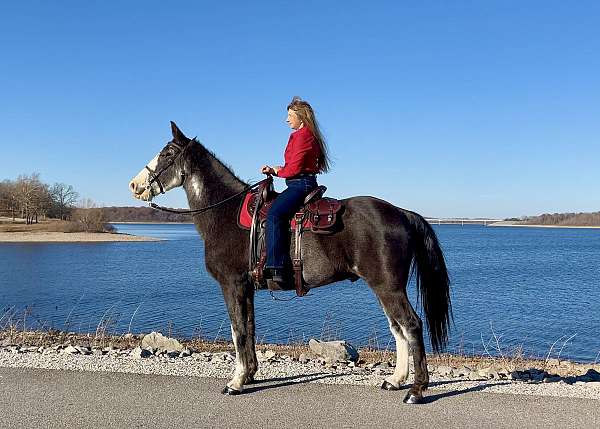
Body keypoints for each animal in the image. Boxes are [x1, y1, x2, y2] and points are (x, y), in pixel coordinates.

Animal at [130, 122, 450, 402]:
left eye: (168, 153)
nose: (135, 184)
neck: (225, 214)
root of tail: (401, 212)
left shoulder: (232, 285)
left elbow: (237, 331)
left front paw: (236, 382)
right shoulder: (247, 288)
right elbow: (249, 328)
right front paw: (250, 374)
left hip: (388, 286)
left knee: (411, 325)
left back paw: (417, 390)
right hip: (384, 287)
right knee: (398, 328)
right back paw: (395, 380)